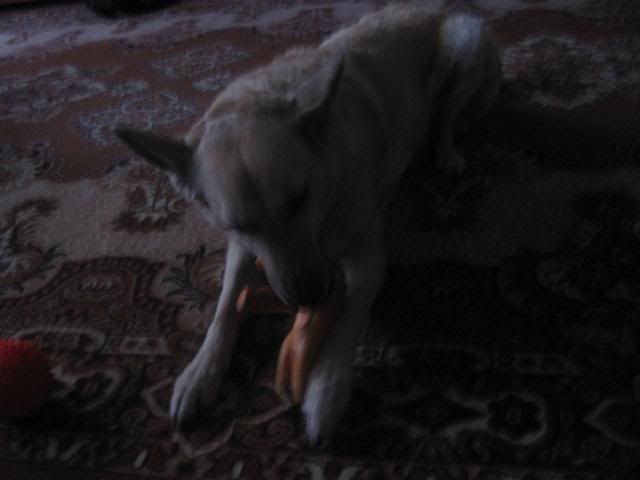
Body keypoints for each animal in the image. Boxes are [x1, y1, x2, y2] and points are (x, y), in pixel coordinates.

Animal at [116, 5, 501, 442]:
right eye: (239, 224)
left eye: (300, 197)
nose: (308, 296)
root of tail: (430, 7)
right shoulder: (241, 248)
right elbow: (225, 304)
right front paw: (200, 371)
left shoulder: (366, 253)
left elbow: (350, 310)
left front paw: (326, 389)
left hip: (464, 45)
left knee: (446, 117)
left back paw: (445, 152)